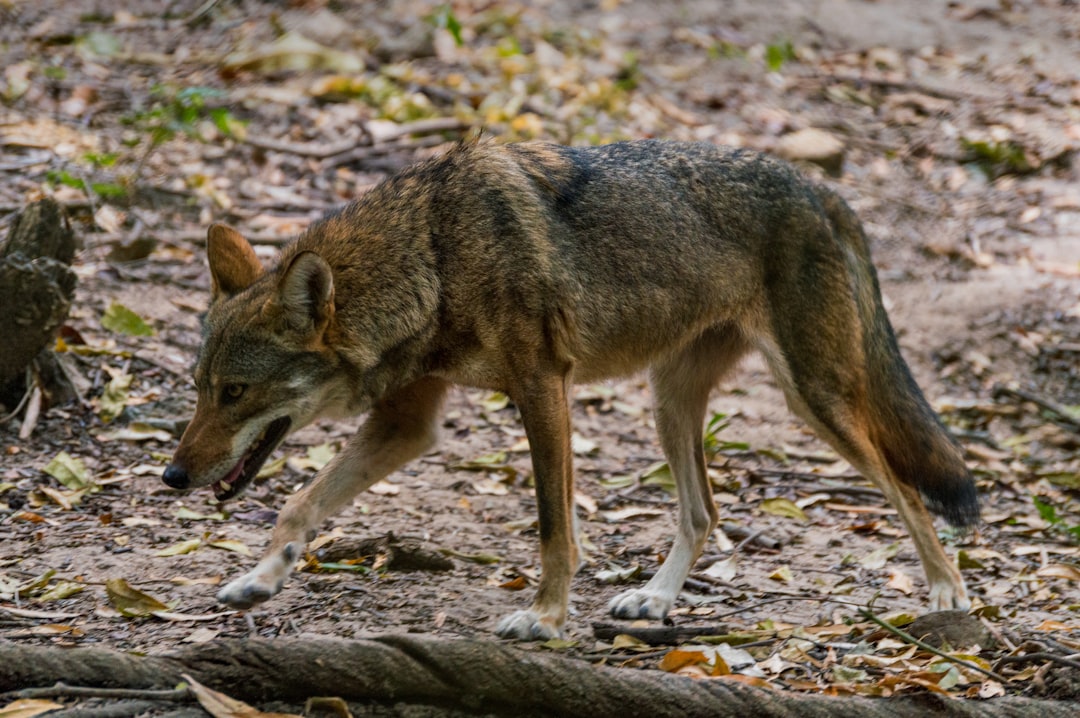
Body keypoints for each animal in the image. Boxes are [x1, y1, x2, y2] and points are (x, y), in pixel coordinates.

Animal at [162, 140, 980, 639]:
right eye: (199, 389)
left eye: (235, 393)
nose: (172, 475)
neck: (434, 256)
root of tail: (817, 186)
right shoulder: (408, 423)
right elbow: (300, 506)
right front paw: (258, 580)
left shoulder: (541, 389)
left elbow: (556, 530)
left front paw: (546, 618)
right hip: (669, 403)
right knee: (704, 512)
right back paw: (654, 601)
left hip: (815, 403)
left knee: (906, 489)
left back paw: (948, 593)